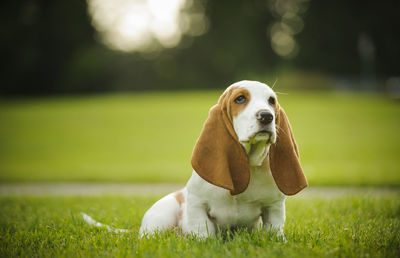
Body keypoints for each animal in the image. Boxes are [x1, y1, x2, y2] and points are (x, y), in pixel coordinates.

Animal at [139, 80, 308, 238]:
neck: (249, 164)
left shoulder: (274, 205)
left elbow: (274, 229)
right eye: (240, 98)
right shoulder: (197, 202)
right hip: (162, 216)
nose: (267, 116)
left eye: (271, 100)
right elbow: (203, 229)